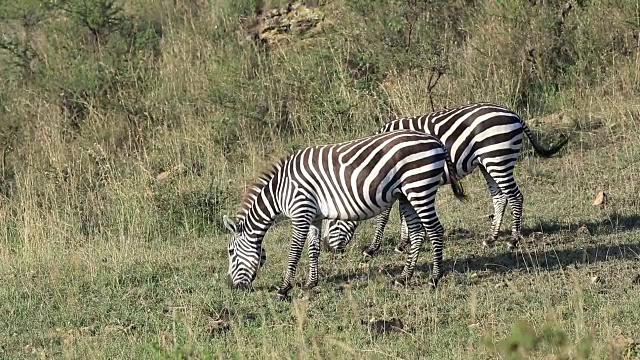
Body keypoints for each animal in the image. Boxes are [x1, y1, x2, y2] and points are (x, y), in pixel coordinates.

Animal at [224, 129, 464, 298]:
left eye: (230, 252)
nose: (231, 287)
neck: (281, 190)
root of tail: (435, 140)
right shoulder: (314, 216)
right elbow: (313, 250)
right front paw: (311, 284)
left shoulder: (301, 212)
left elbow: (294, 252)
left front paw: (284, 289)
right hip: (407, 195)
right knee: (417, 233)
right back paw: (403, 278)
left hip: (419, 188)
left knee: (435, 230)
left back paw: (434, 279)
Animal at [322, 102, 568, 256]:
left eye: (332, 220)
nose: (325, 247)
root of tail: (513, 114)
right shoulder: (405, 184)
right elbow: (404, 215)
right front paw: (404, 242)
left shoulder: (391, 181)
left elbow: (384, 217)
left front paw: (373, 248)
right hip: (488, 163)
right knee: (500, 198)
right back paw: (491, 238)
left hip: (498, 158)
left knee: (515, 196)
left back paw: (513, 240)